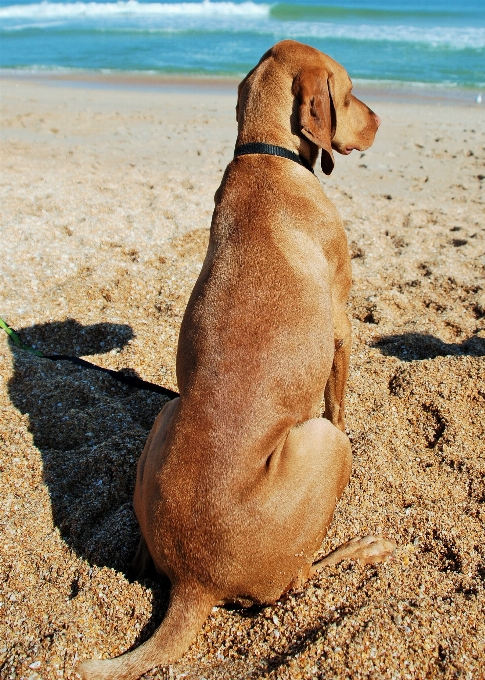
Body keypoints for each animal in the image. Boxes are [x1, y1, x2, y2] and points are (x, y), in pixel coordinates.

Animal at [78, 41, 394, 680]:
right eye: (350, 93)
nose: (380, 121)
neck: (265, 154)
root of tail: (194, 585)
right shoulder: (343, 323)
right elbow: (339, 398)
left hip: (168, 413)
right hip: (322, 447)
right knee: (297, 578)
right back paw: (363, 549)